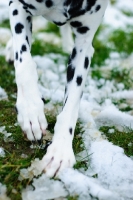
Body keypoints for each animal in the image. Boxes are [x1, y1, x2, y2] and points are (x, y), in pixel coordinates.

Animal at [8, 0, 108, 177]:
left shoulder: (84, 44)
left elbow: (71, 105)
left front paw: (60, 151)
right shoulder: (18, 7)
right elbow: (25, 62)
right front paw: (30, 111)